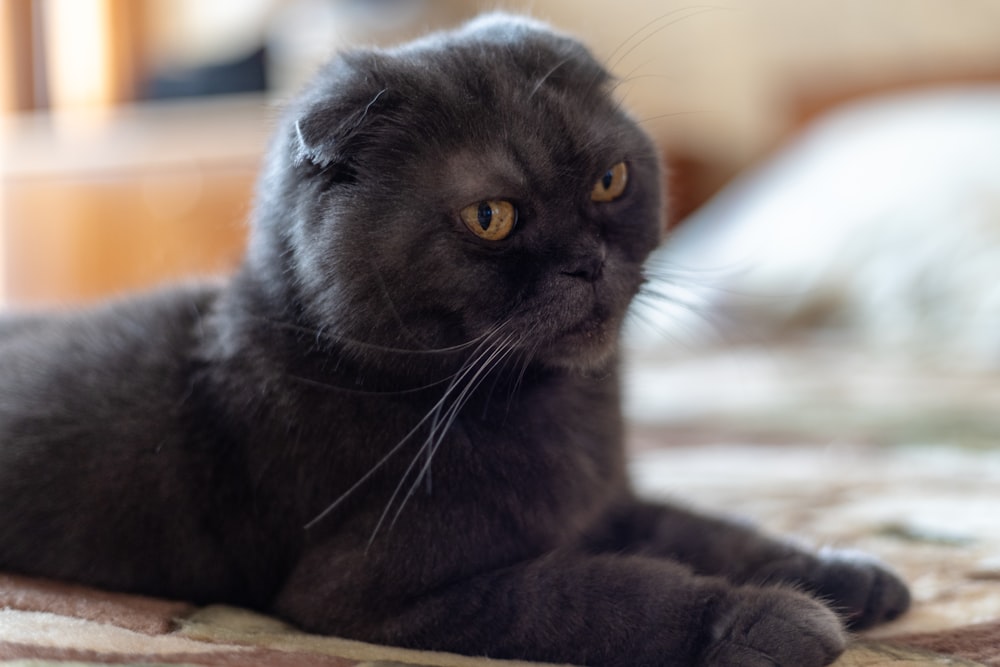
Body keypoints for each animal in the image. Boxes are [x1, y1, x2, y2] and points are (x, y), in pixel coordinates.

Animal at [0, 11, 908, 667]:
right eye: (491, 217)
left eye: (610, 180)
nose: (588, 262)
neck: (553, 411)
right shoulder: (374, 592)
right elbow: (602, 596)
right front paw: (769, 620)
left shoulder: (605, 503)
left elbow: (708, 529)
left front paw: (845, 573)